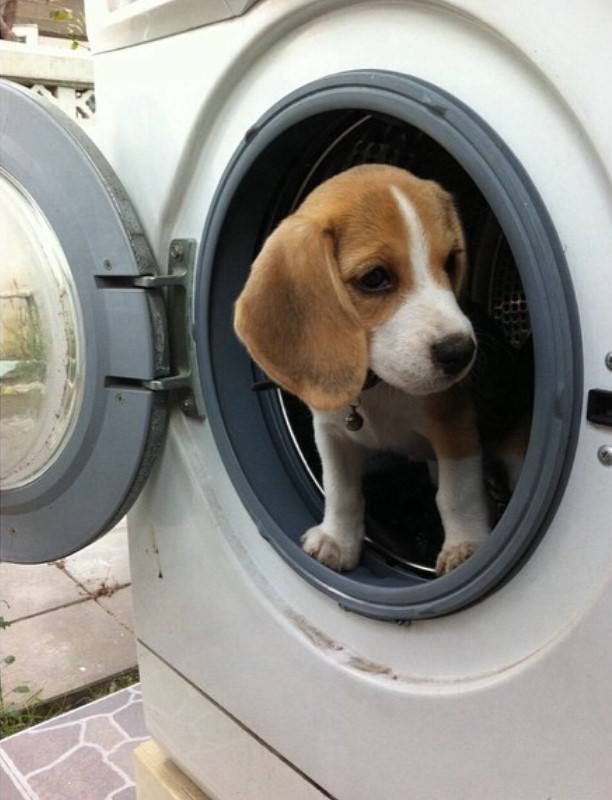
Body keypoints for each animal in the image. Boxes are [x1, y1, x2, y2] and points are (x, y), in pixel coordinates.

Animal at [233, 164, 488, 576]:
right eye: (374, 278)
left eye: (450, 262)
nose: (460, 352)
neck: (377, 388)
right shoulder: (331, 431)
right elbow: (341, 491)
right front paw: (337, 540)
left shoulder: (455, 422)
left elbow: (457, 493)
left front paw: (466, 548)